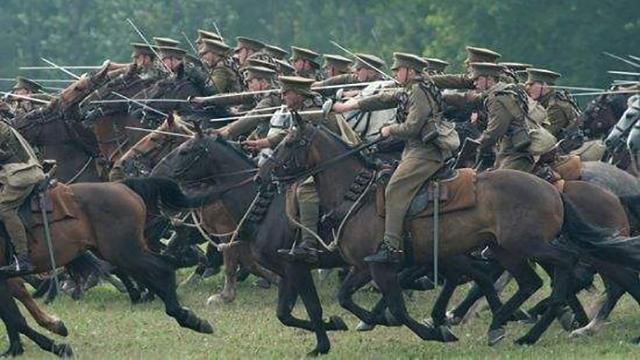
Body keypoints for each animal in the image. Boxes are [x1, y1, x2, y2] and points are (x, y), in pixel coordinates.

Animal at [0, 178, 215, 358]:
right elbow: (13, 317)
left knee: (161, 268)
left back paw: (188, 317)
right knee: (155, 270)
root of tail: (121, 185)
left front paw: (57, 346)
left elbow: (15, 319)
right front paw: (42, 343)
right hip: (119, 252)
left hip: (124, 251)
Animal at [255, 121, 620, 348]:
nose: (262, 174)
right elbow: (347, 299)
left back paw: (527, 325)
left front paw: (431, 332)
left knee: (565, 265)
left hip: (530, 245)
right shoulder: (363, 267)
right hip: (506, 250)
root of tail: (553, 188)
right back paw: (509, 327)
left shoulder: (381, 267)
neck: (354, 195)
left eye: (289, 142)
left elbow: (398, 309)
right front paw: (361, 321)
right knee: (530, 282)